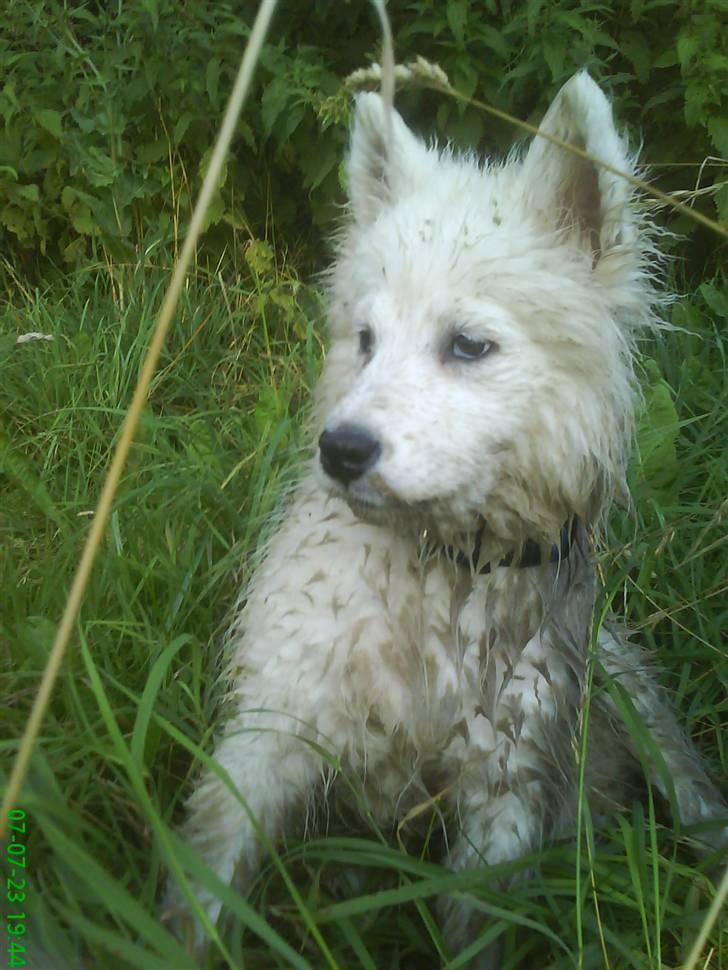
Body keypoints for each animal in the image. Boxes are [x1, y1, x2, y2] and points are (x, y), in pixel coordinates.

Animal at [166, 72, 728, 964]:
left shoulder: (502, 801)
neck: (439, 571)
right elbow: (204, 885)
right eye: (364, 338)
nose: (340, 450)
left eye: (469, 344)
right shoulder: (270, 733)